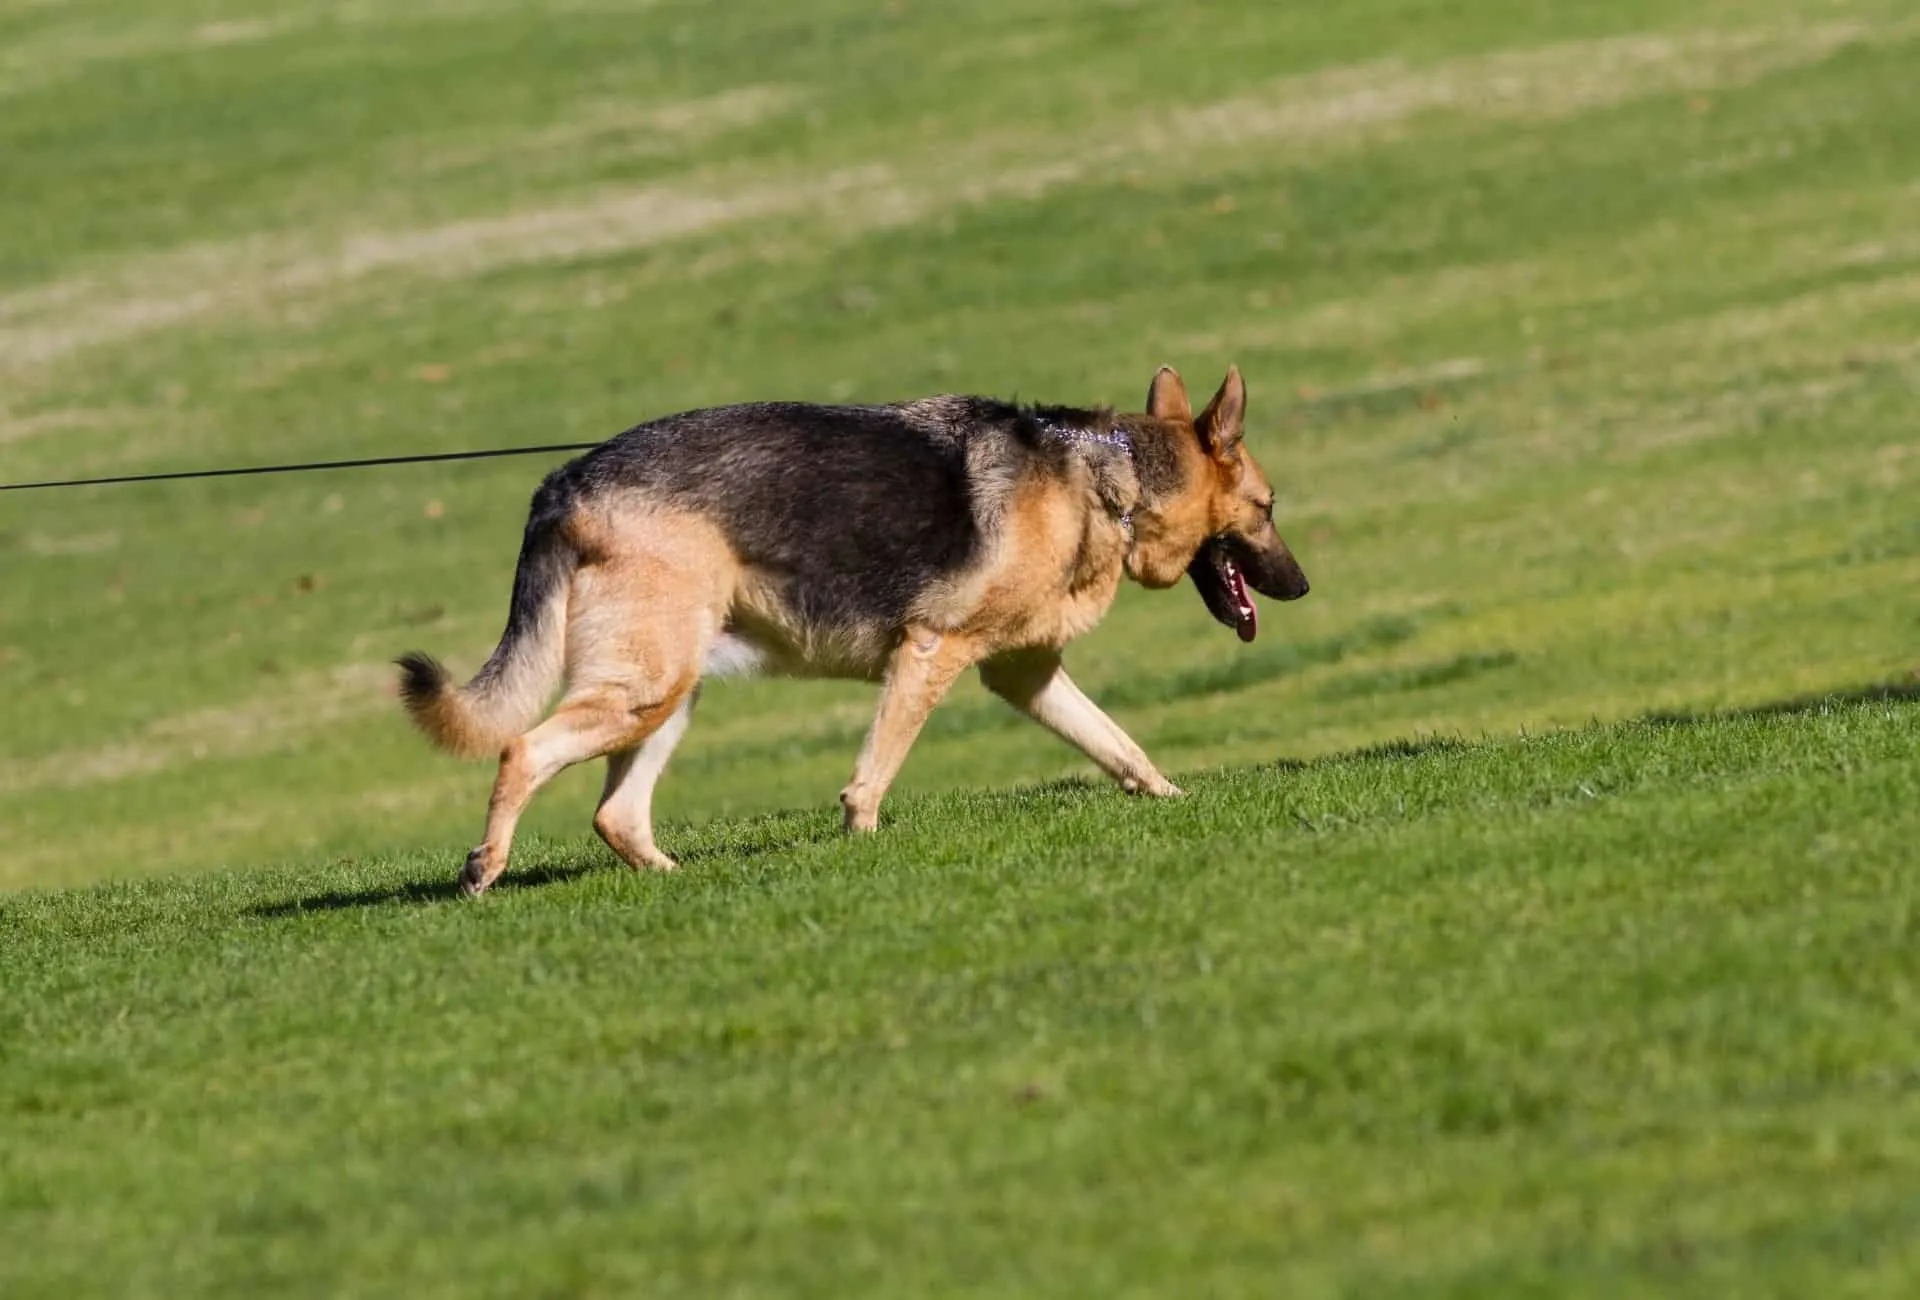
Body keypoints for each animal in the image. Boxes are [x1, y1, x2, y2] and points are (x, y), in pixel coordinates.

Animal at [399, 362, 1313, 890]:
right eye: (1268, 508)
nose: (1303, 587)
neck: (1105, 480)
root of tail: (565, 482)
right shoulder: (931, 653)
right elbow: (873, 777)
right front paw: (861, 846)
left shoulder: (1025, 674)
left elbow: (1120, 746)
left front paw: (1173, 799)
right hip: (644, 689)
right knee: (522, 751)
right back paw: (485, 868)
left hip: (668, 694)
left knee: (615, 816)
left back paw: (675, 879)